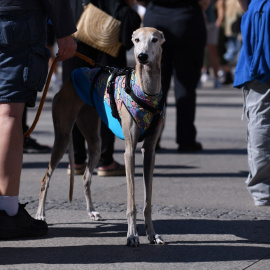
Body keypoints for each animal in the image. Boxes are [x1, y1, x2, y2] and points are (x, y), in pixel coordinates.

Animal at [35, 27, 166, 247]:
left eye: (154, 39)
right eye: (136, 40)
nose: (142, 56)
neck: (146, 91)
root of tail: (69, 79)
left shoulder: (149, 151)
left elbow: (147, 201)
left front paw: (152, 234)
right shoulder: (129, 151)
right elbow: (132, 201)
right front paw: (132, 235)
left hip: (95, 141)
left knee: (86, 177)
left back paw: (91, 211)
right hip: (62, 137)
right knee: (46, 177)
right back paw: (40, 215)